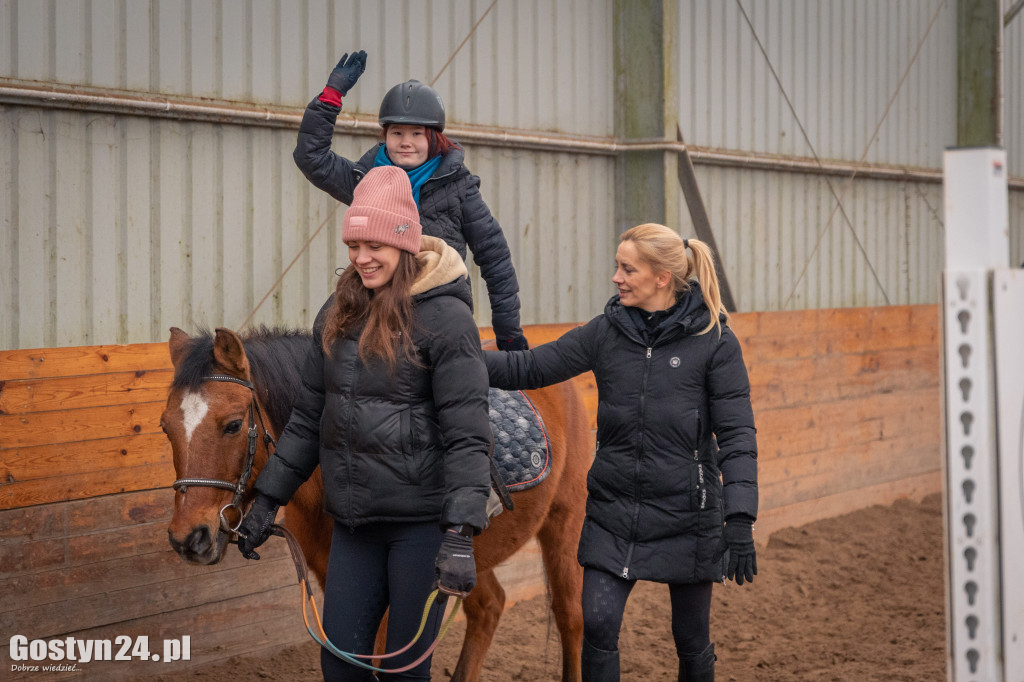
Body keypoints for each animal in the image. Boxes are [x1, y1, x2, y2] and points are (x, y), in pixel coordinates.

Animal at [160, 325, 593, 679]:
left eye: (233, 425)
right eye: (166, 427)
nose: (188, 539)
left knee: (570, 615)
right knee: (490, 607)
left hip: (565, 521)